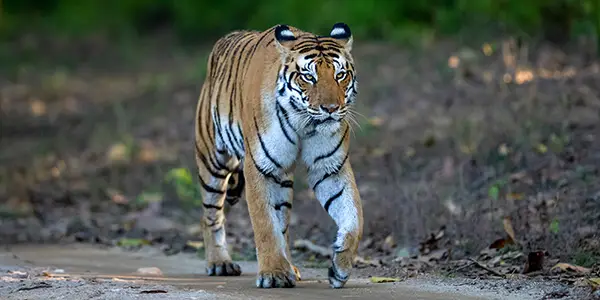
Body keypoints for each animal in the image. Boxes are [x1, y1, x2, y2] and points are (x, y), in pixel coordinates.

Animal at [195, 22, 364, 290]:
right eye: (309, 77)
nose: (331, 109)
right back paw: (219, 263)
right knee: (210, 215)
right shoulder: (259, 167)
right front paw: (273, 274)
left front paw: (340, 269)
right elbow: (265, 224)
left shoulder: (330, 168)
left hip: (282, 180)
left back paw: (290, 267)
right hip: (212, 161)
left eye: (340, 75)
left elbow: (354, 218)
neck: (304, 124)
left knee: (282, 224)